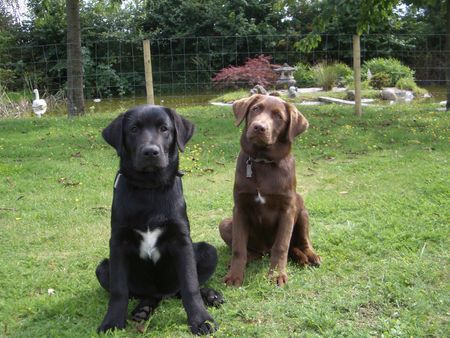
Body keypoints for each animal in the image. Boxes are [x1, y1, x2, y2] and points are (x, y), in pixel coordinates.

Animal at [96, 104, 222, 334]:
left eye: (164, 128)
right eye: (133, 129)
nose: (150, 152)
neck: (149, 188)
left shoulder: (181, 240)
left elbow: (190, 285)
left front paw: (201, 320)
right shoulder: (117, 242)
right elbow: (119, 290)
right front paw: (112, 321)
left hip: (208, 251)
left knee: (180, 290)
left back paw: (210, 295)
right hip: (103, 268)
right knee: (145, 294)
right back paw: (143, 309)